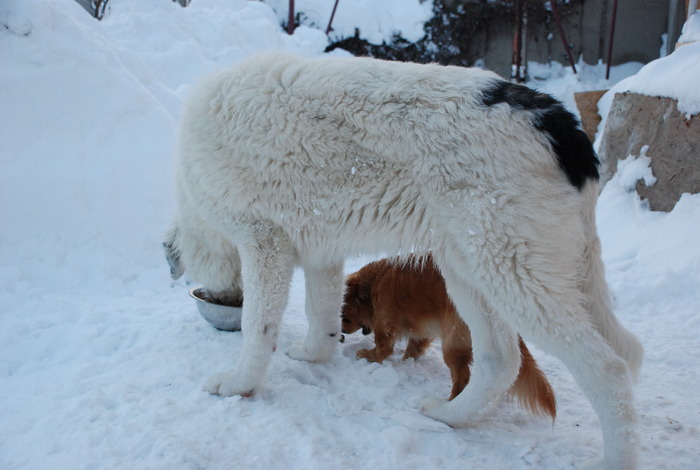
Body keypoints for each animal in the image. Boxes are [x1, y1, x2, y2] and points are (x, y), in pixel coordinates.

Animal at [342, 255, 556, 420]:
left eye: (344, 318)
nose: (341, 334)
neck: (375, 282)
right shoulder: (422, 329)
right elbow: (414, 346)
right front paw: (407, 361)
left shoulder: (385, 324)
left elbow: (382, 348)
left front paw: (367, 355)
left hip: (453, 343)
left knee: (463, 377)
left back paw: (450, 404)